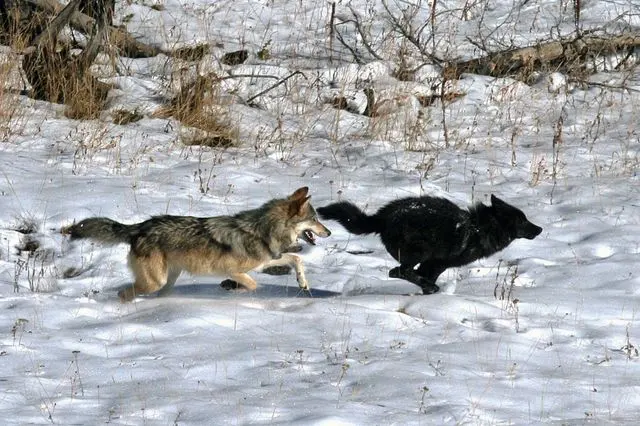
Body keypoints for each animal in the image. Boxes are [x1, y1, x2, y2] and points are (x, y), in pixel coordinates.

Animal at [62, 187, 331, 302]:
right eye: (315, 219)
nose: (328, 231)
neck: (264, 230)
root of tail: (140, 226)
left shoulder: (266, 261)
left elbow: (297, 258)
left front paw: (303, 282)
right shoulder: (234, 270)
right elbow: (253, 285)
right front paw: (232, 290)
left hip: (167, 280)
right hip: (154, 281)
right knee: (123, 293)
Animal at [317, 194, 541, 294]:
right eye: (523, 221)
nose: (540, 229)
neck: (481, 228)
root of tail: (383, 217)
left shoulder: (433, 265)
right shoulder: (436, 263)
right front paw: (430, 289)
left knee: (401, 272)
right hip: (420, 252)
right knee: (397, 271)